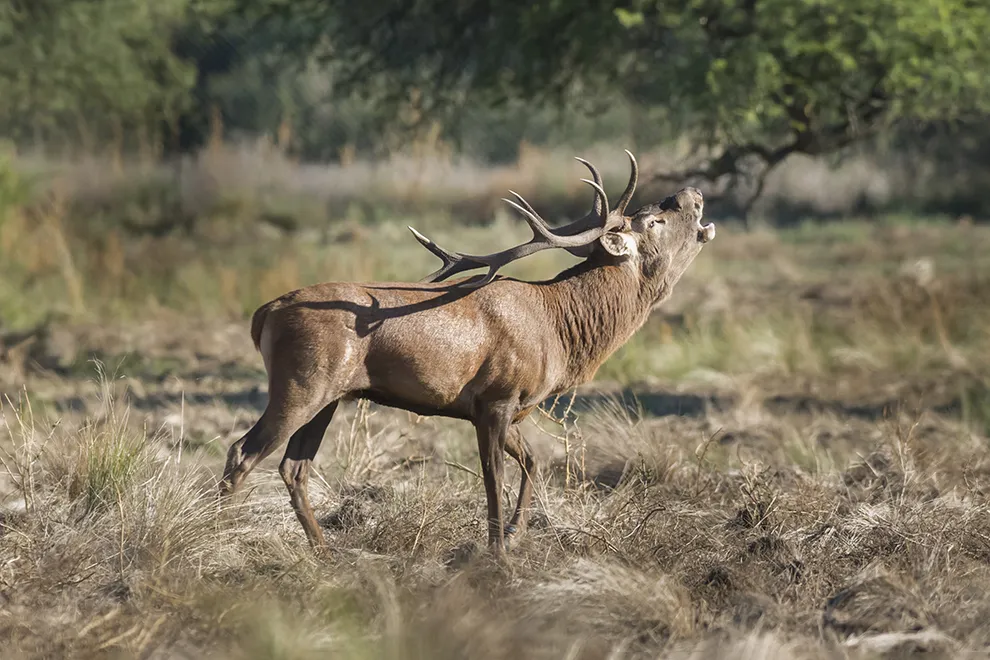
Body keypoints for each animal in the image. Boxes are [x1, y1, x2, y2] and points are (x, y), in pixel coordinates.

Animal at [219, 150, 715, 555]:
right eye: (653, 221)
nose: (691, 193)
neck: (560, 331)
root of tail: (263, 313)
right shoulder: (495, 397)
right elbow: (493, 477)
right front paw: (497, 554)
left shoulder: (508, 407)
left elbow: (532, 461)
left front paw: (514, 534)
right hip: (300, 382)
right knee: (243, 452)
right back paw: (221, 537)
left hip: (330, 395)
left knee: (293, 466)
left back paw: (324, 550)